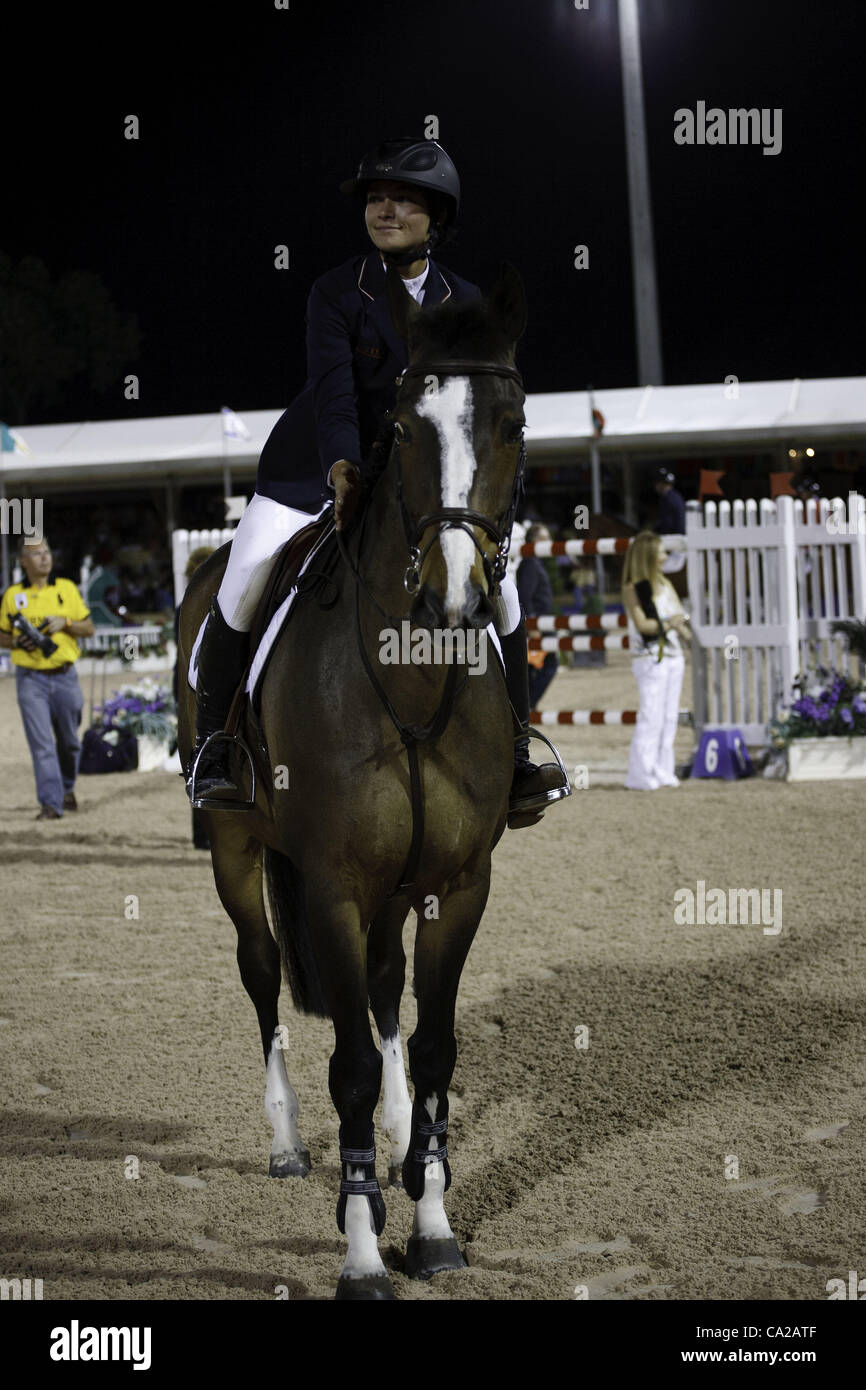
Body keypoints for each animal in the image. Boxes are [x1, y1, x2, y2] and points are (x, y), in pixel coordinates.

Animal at [177, 261, 536, 1301]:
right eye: (405, 431)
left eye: (514, 424)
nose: (456, 598)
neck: (410, 678)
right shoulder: (332, 884)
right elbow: (343, 1062)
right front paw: (366, 1249)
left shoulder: (457, 885)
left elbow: (435, 1046)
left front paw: (433, 1220)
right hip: (237, 851)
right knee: (263, 975)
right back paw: (290, 1143)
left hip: (391, 887)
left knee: (381, 991)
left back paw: (397, 1130)